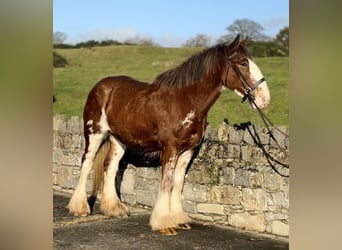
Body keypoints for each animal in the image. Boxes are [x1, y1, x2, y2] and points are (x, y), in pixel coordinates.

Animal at [67, 34, 270, 235]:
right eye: (243, 63)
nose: (264, 99)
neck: (185, 101)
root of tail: (100, 87)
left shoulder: (188, 151)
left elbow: (177, 184)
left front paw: (179, 219)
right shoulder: (170, 149)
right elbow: (166, 183)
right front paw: (164, 223)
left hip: (118, 140)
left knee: (110, 166)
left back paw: (114, 209)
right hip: (94, 134)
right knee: (86, 163)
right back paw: (79, 208)